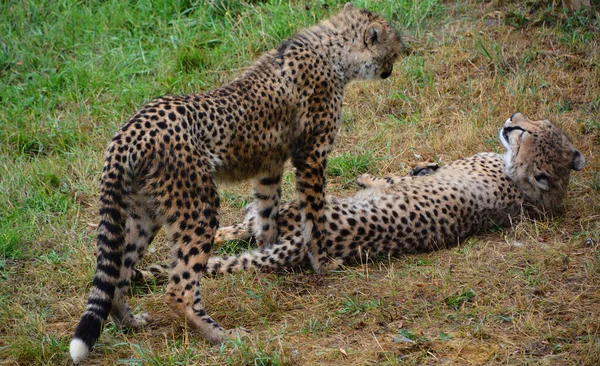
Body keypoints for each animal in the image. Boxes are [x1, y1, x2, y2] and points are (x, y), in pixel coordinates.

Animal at [70, 3, 406, 364]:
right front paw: (322, 261)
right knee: (179, 289)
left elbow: (267, 214)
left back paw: (131, 322)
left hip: (143, 213)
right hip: (197, 206)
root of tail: (129, 130)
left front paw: (266, 254)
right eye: (393, 44)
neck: (332, 50)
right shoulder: (312, 157)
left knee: (119, 273)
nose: (400, 57)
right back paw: (222, 336)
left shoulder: (269, 166)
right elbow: (313, 214)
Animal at [135, 113, 580, 278]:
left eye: (524, 133)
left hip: (290, 208)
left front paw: (370, 177)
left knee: (242, 225)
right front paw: (415, 169)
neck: (523, 187)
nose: (510, 121)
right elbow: (412, 172)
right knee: (232, 232)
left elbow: (390, 180)